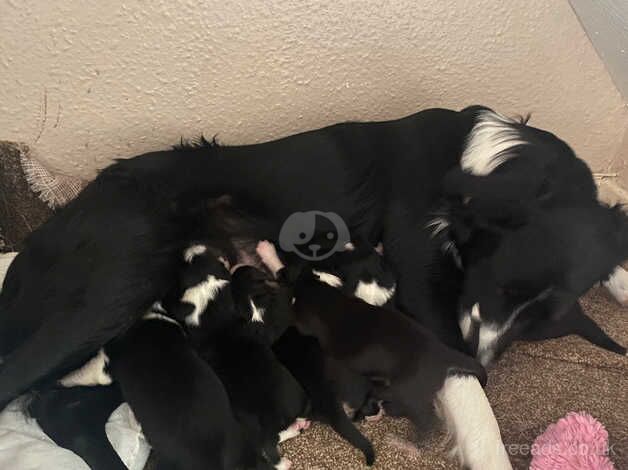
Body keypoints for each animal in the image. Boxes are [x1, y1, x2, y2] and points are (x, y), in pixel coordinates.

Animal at [2, 104, 624, 468]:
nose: (487, 359)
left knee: (62, 410)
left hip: (143, 340)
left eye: (535, 324)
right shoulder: (426, 289)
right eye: (497, 289)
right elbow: (473, 400)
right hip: (112, 288)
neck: (482, 163)